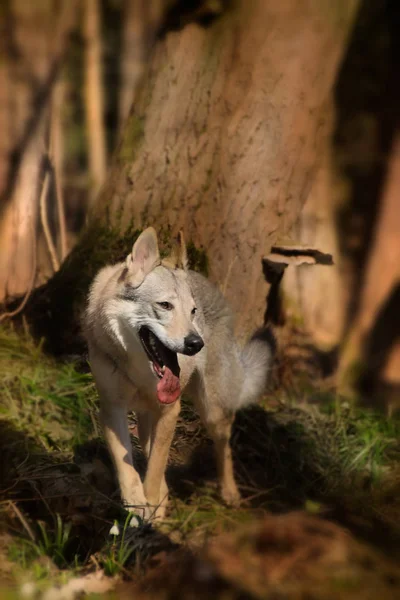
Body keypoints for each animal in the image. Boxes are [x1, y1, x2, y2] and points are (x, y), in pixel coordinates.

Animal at [83, 229, 272, 520]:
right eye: (165, 305)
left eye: (193, 311)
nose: (196, 344)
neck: (138, 368)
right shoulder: (112, 407)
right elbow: (126, 465)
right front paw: (137, 502)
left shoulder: (171, 409)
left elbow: (156, 466)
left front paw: (151, 502)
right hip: (148, 416)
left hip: (212, 411)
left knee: (224, 447)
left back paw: (229, 493)